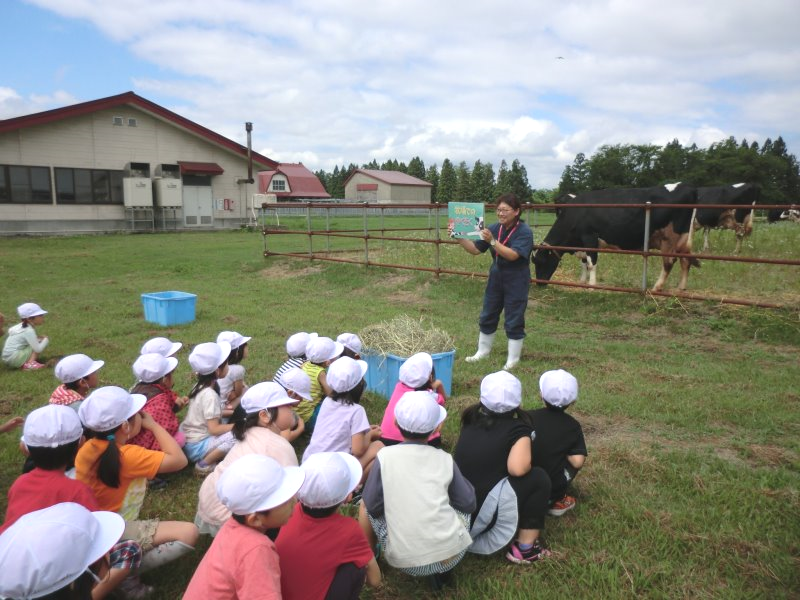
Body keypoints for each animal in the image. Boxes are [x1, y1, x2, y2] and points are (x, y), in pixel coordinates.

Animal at [536, 185, 700, 292]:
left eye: (541, 262)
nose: (538, 283)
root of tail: (688, 187)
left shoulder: (589, 237)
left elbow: (591, 263)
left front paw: (591, 286)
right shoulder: (582, 243)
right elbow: (584, 263)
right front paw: (582, 282)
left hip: (669, 238)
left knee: (669, 262)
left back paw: (656, 287)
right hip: (684, 239)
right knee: (685, 261)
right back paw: (681, 288)